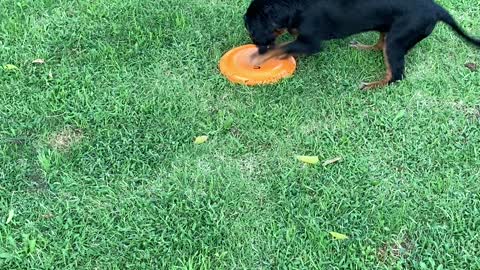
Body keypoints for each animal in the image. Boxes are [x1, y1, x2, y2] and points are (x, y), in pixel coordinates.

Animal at [246, 0, 480, 89]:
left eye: (251, 29)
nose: (258, 46)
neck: (292, 5)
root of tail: (436, 8)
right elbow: (286, 47)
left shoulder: (311, 42)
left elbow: (283, 46)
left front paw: (257, 57)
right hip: (388, 29)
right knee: (380, 45)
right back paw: (363, 48)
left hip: (397, 40)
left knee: (395, 75)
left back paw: (372, 86)